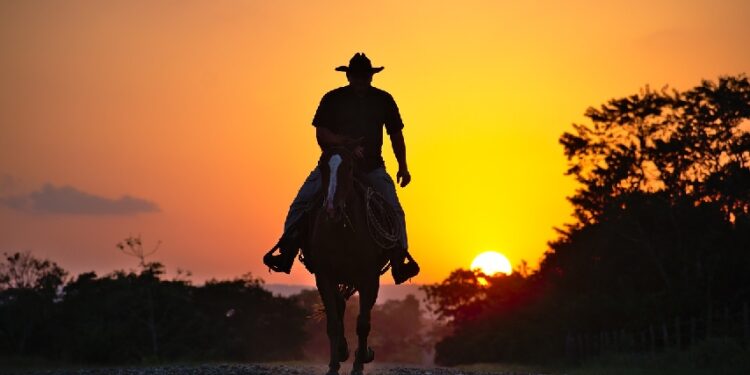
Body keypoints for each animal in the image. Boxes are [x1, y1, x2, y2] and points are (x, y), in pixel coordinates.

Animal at [310, 147, 394, 375]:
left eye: (348, 168)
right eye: (322, 167)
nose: (332, 209)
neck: (343, 231)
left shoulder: (369, 278)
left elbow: (363, 323)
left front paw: (359, 364)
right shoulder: (324, 276)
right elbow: (333, 323)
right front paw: (333, 366)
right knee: (340, 307)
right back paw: (342, 351)